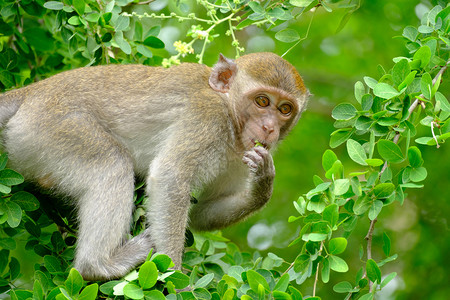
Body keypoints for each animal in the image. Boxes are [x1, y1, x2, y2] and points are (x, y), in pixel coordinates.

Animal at [0, 52, 310, 282]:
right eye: (262, 101)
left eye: (285, 109)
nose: (269, 128)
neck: (230, 113)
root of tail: (32, 92)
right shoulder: (206, 118)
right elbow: (170, 176)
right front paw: (174, 274)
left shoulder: (240, 155)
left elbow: (200, 215)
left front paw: (263, 182)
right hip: (50, 127)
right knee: (111, 163)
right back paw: (98, 265)